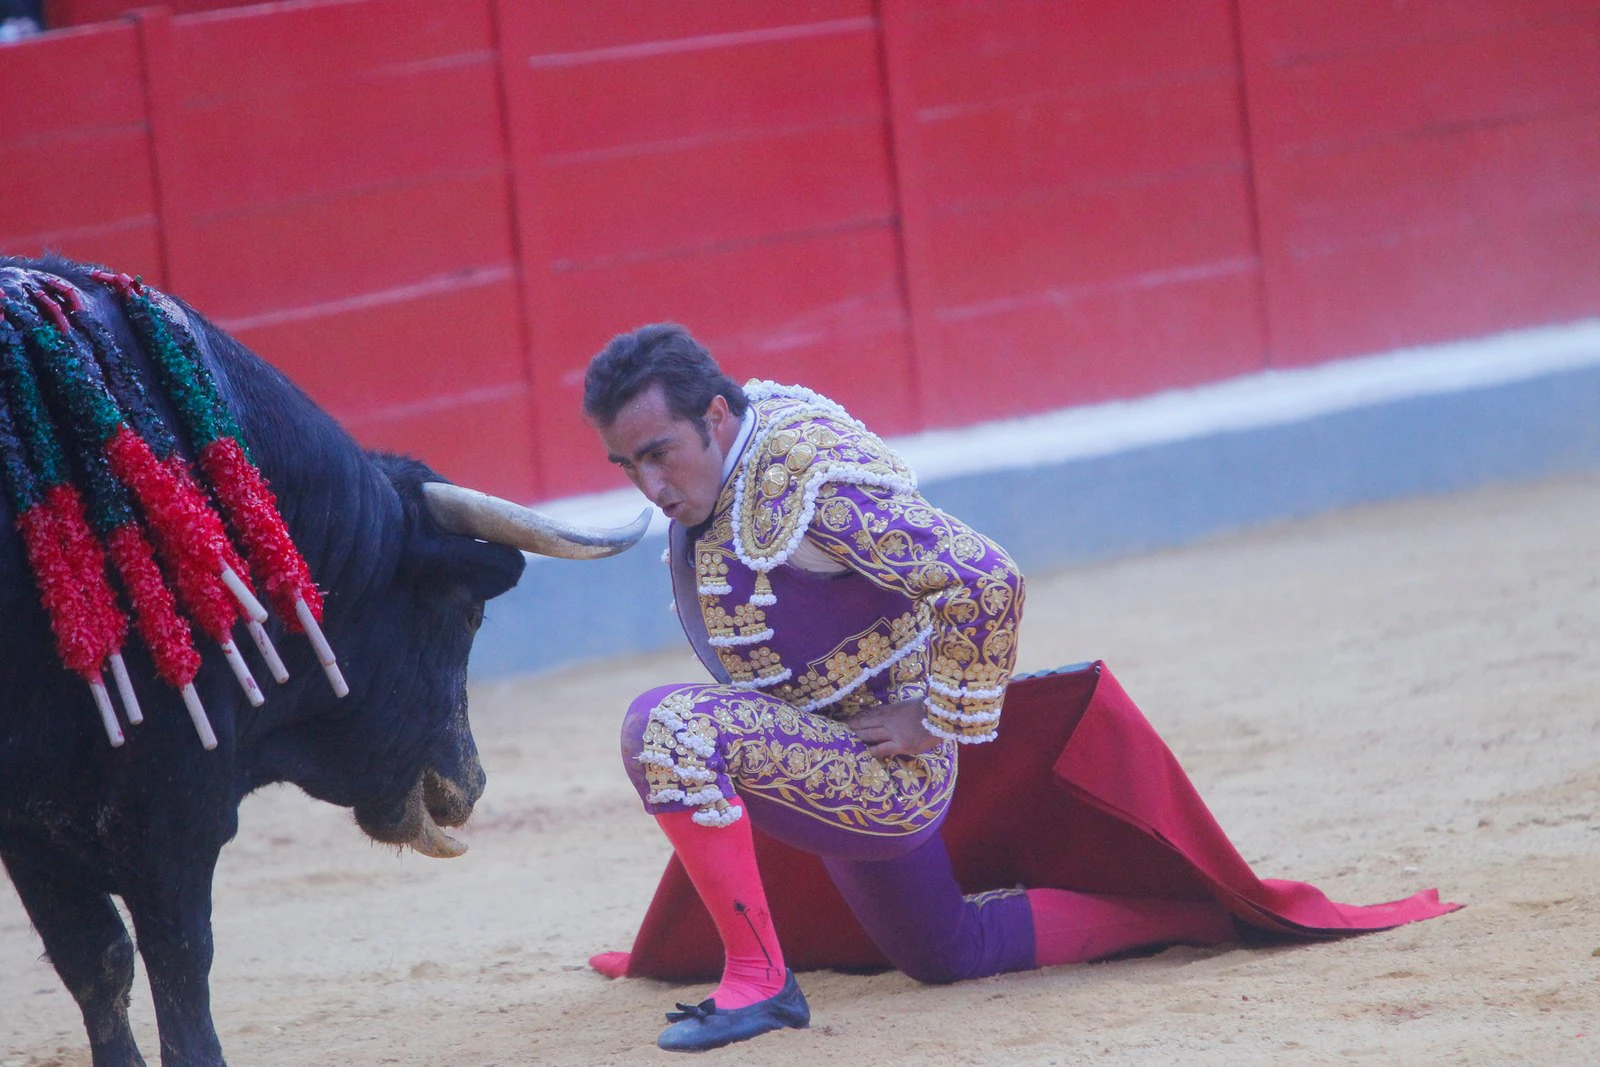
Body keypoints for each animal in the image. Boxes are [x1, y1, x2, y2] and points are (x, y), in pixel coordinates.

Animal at [1, 254, 649, 1062]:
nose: (469, 784)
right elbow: (177, 965)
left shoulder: (33, 818)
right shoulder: (174, 795)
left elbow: (98, 962)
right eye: (468, 614)